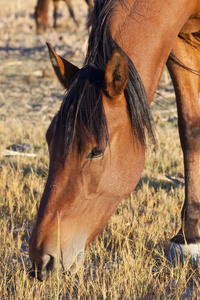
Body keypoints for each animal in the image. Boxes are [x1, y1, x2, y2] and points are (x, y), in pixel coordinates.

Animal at [28, 0, 200, 282]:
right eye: (48, 138)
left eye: (96, 150)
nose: (41, 259)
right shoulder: (178, 40)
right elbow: (190, 129)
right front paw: (189, 236)